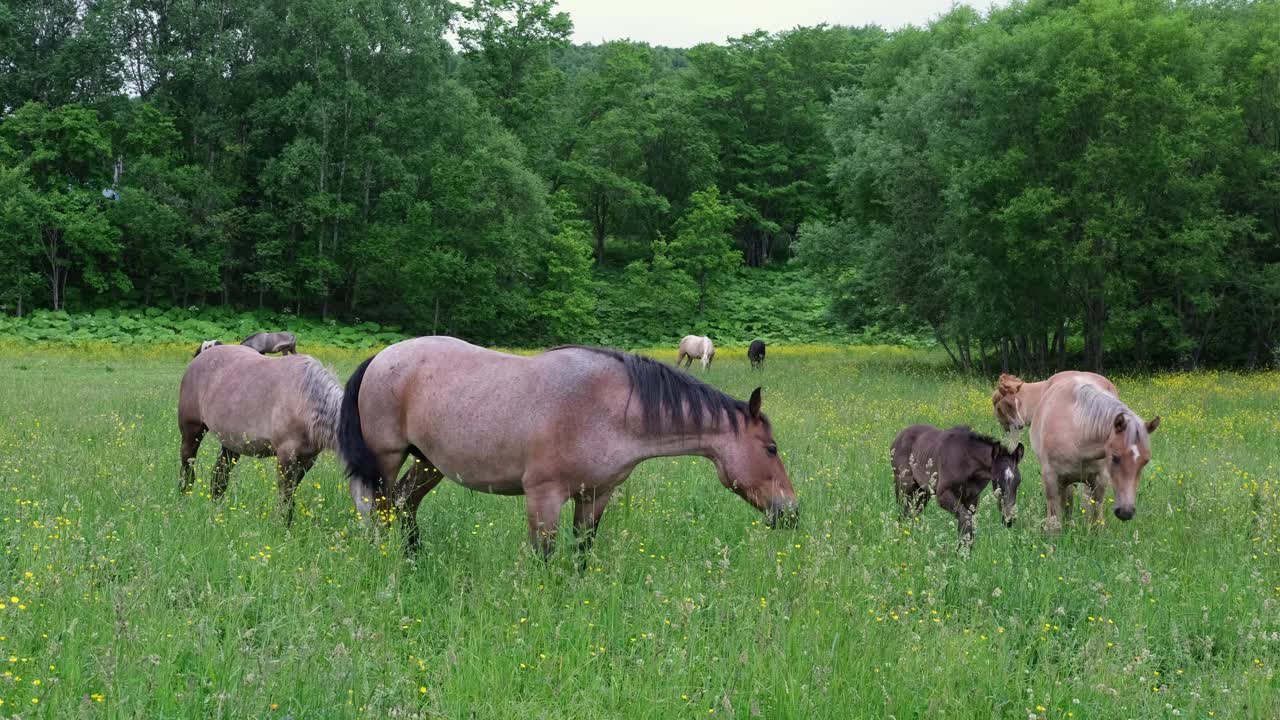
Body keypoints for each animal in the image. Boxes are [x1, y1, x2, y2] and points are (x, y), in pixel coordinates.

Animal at [177, 340, 345, 520]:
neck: (306, 400)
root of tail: (207, 351)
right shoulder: (286, 458)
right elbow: (285, 502)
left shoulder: (307, 460)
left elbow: (290, 499)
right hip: (192, 433)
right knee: (187, 473)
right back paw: (183, 505)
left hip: (231, 444)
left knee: (219, 478)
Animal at [340, 333, 798, 558]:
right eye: (771, 449)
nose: (791, 512)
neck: (607, 408)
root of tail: (380, 358)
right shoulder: (543, 497)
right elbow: (543, 556)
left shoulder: (595, 496)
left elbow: (581, 552)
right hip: (386, 459)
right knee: (378, 508)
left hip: (429, 463)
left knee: (404, 504)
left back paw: (415, 558)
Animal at [890, 420, 1029, 543]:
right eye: (996, 480)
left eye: (1019, 481)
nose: (1009, 520)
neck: (966, 462)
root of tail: (900, 435)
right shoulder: (943, 495)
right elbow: (965, 521)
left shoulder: (972, 499)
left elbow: (967, 527)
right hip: (904, 486)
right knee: (903, 512)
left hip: (923, 491)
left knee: (913, 513)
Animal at [1029, 376, 1162, 527]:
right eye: (1115, 457)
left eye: (1145, 461)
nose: (1126, 512)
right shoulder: (1051, 479)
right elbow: (1053, 522)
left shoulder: (1100, 480)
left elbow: (1097, 519)